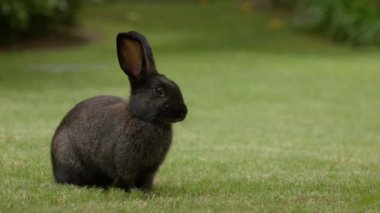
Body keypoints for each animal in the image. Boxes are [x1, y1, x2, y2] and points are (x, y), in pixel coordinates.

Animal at [50, 30, 187, 191]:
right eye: (159, 91)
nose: (183, 112)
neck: (143, 119)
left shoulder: (149, 169)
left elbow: (147, 180)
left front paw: (148, 191)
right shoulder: (126, 166)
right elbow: (127, 179)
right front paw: (133, 191)